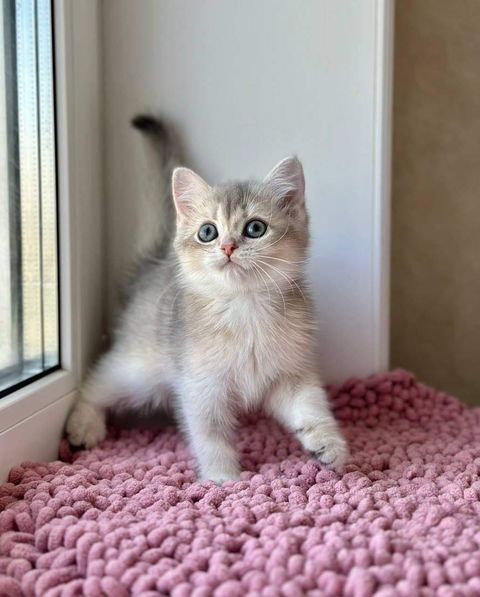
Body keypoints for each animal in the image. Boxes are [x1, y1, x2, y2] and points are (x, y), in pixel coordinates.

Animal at [65, 114, 346, 482]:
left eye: (255, 228)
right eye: (208, 232)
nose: (227, 247)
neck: (245, 308)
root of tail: (154, 263)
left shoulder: (288, 374)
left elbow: (311, 406)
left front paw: (328, 444)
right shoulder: (201, 387)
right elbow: (210, 435)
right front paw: (224, 479)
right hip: (140, 370)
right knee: (96, 381)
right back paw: (84, 422)